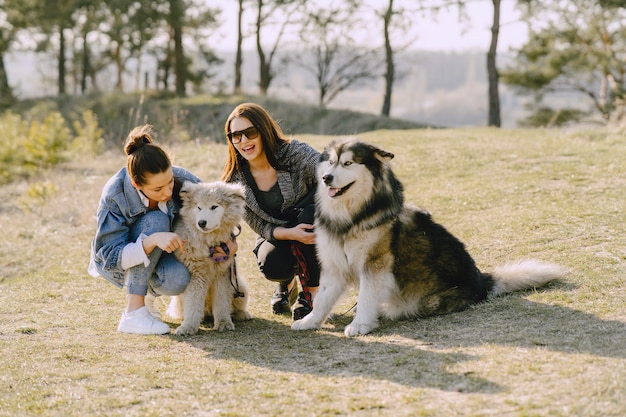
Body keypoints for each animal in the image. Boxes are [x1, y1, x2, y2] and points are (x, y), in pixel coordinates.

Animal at [168, 181, 254, 334]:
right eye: (198, 207)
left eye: (214, 207)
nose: (201, 223)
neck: (209, 243)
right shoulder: (196, 274)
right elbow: (193, 303)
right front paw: (188, 327)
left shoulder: (223, 274)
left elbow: (222, 302)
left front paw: (224, 323)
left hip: (239, 286)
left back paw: (242, 314)